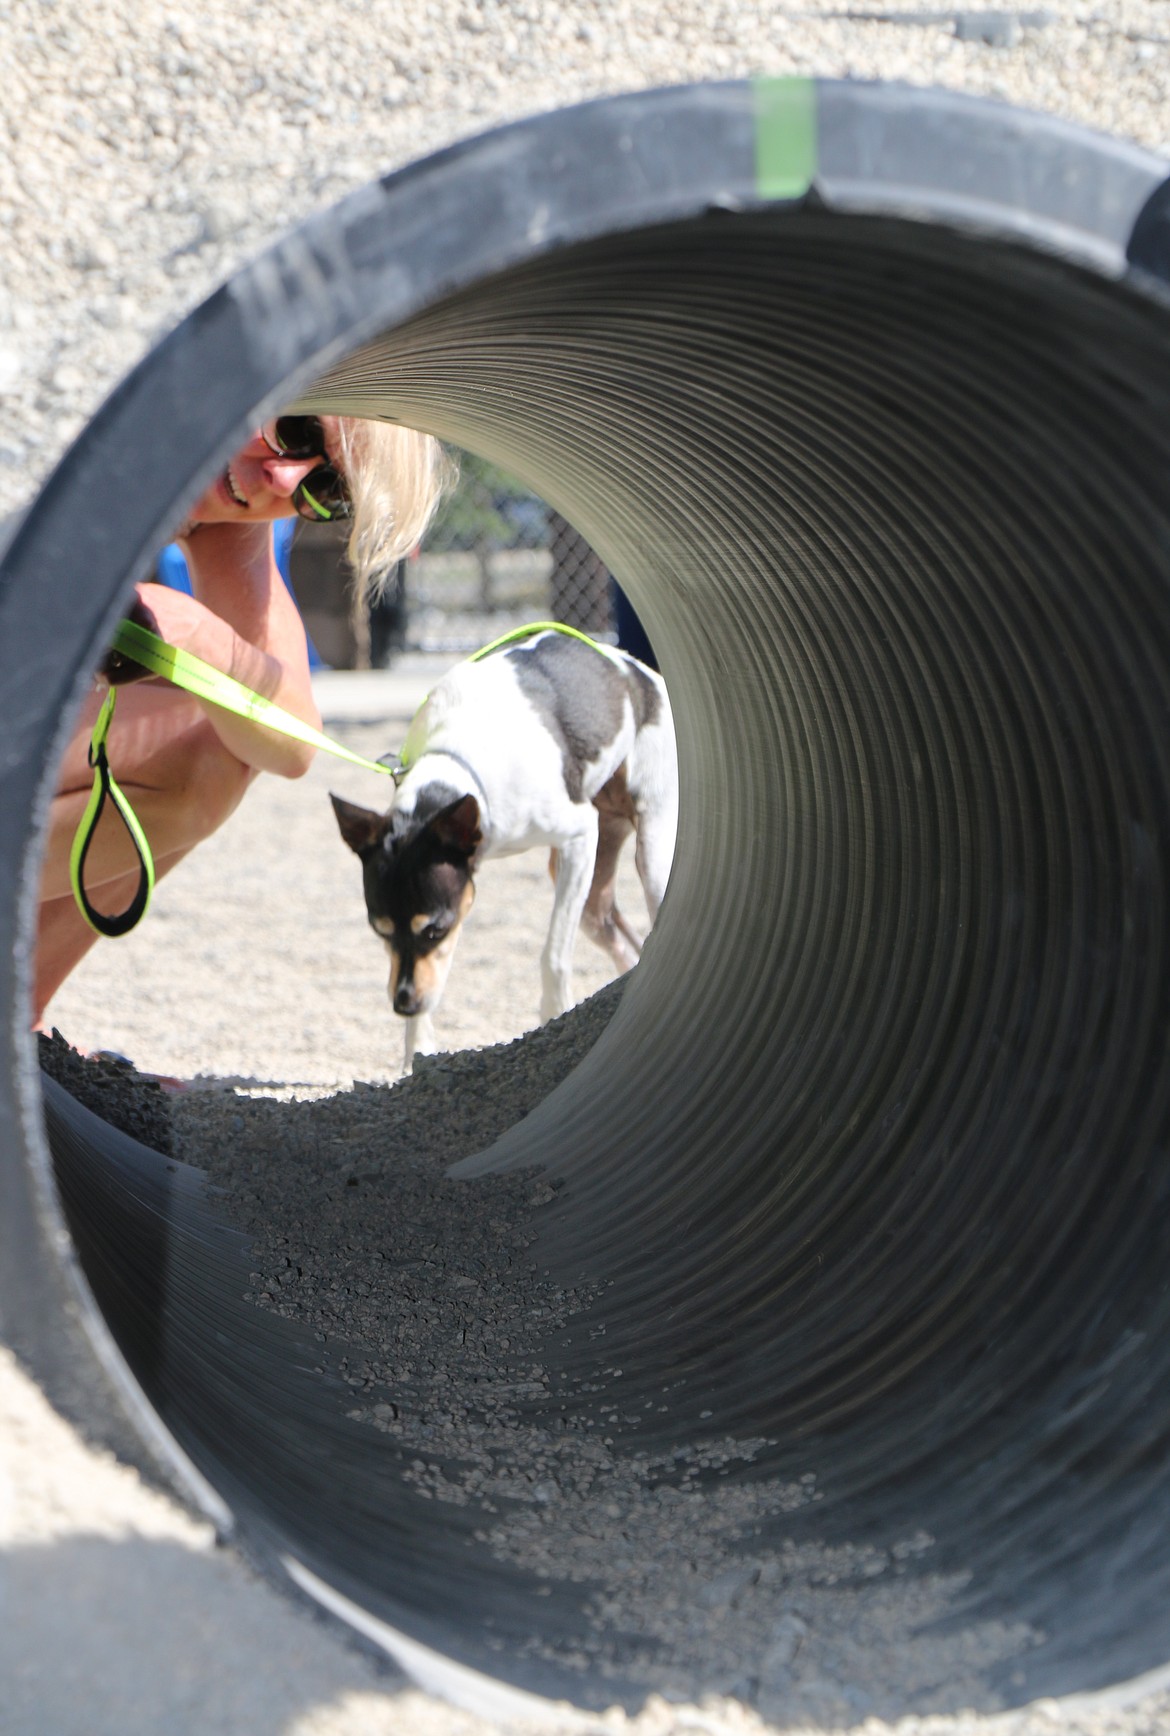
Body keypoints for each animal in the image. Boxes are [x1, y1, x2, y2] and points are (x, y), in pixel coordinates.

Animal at [328, 631, 673, 1062]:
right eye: (379, 930)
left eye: (434, 930)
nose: (403, 1004)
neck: (456, 757)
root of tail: (640, 672)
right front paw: (416, 1049)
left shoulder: (580, 837)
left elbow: (554, 955)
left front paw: (553, 1016)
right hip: (593, 901)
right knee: (625, 943)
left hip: (650, 858)